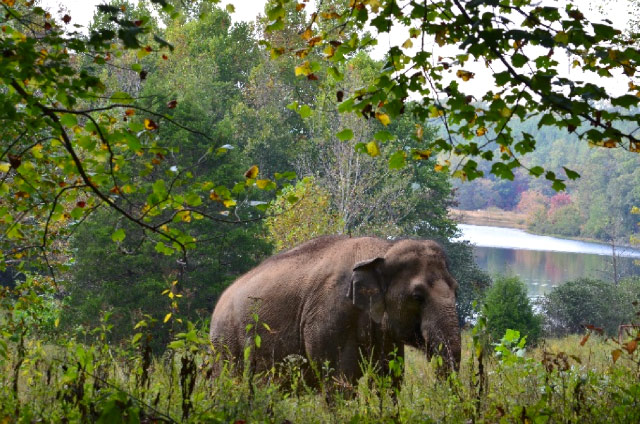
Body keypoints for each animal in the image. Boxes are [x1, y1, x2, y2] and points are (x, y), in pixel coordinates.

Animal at [210, 235, 460, 388]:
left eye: (456, 289)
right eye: (417, 297)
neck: (383, 250)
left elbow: (389, 377)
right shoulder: (328, 316)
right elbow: (339, 378)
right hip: (226, 342)